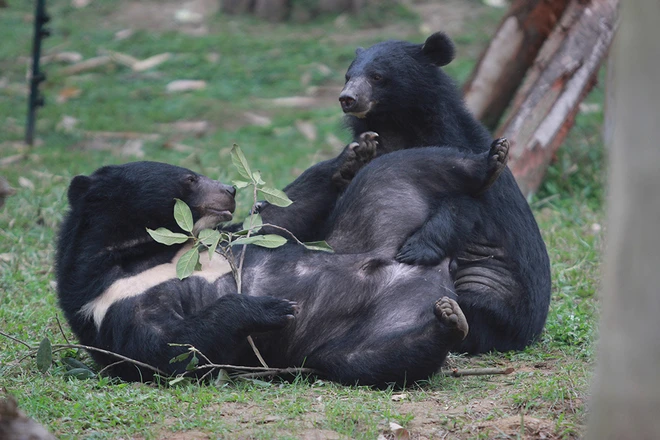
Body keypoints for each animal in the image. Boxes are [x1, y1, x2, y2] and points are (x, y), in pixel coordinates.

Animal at [56, 137, 508, 384]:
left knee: (403, 166)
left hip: (377, 223)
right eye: (189, 178)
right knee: (376, 361)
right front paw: (270, 308)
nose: (230, 190)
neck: (138, 255)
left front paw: (351, 155)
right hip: (356, 337)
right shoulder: (110, 310)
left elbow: (276, 220)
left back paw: (488, 162)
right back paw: (447, 322)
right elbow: (170, 350)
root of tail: (434, 276)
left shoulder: (219, 238)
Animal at [260, 31, 548, 354]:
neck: (396, 126)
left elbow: (464, 203)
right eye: (348, 75)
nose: (348, 99)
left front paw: (413, 250)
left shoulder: (453, 149)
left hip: (490, 281)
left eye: (377, 76)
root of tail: (525, 334)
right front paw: (351, 158)